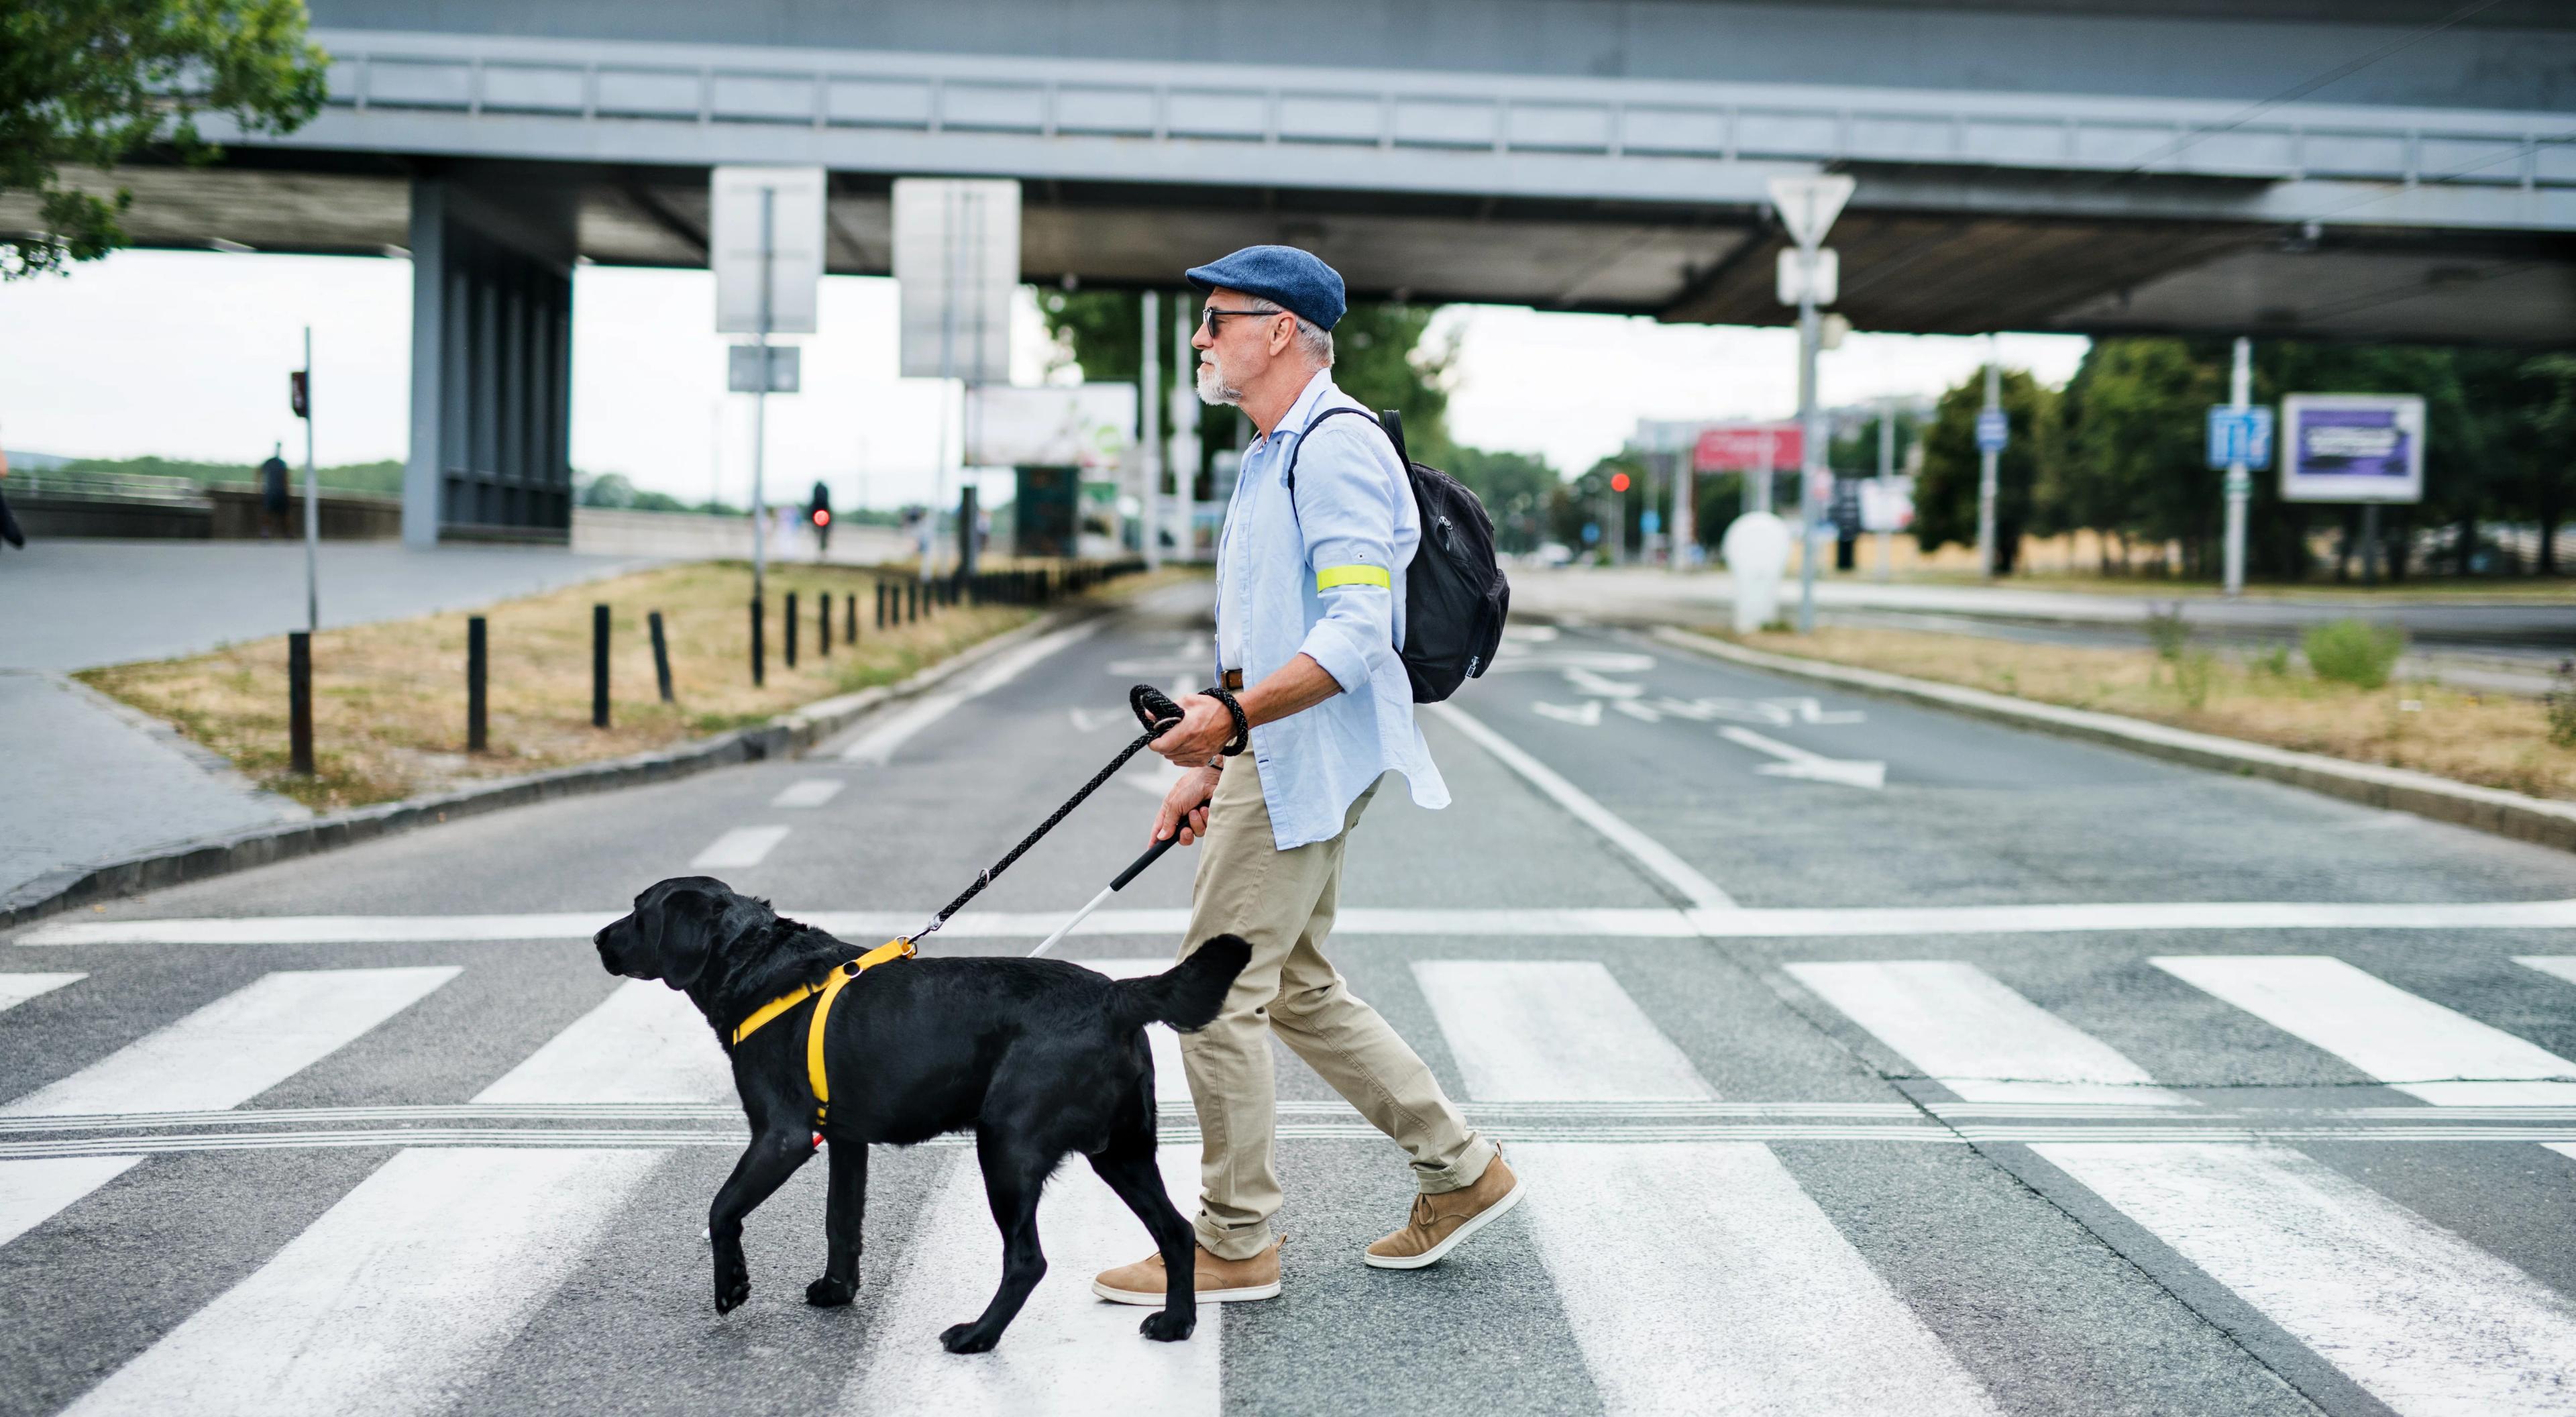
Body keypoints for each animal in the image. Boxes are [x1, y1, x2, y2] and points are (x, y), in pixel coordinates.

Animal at [597, 876, 1252, 1360]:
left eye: (638, 911)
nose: (599, 939)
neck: (752, 962)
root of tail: (1119, 995)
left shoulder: (782, 1137)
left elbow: (721, 1208)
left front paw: (731, 1285)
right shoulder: (846, 1142)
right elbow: (841, 1222)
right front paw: (837, 1291)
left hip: (1006, 1148)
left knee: (1028, 1260)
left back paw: (978, 1336)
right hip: (1122, 1151)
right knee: (1177, 1230)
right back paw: (1176, 1323)